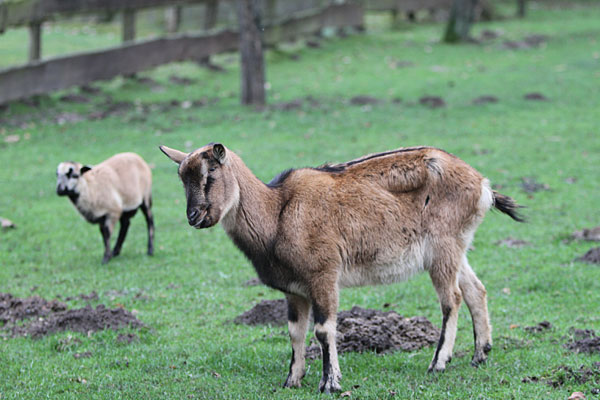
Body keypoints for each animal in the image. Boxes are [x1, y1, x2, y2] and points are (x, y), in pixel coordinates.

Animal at [160, 143, 523, 393]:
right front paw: (292, 379)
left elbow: (323, 329)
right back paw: (479, 355)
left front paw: (330, 383)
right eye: (181, 178)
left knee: (452, 299)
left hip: (442, 246)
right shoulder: (294, 290)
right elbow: (294, 331)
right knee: (476, 290)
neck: (277, 213)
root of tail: (483, 186)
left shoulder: (323, 274)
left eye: (210, 174)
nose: (194, 216)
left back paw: (438, 363)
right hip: (456, 246)